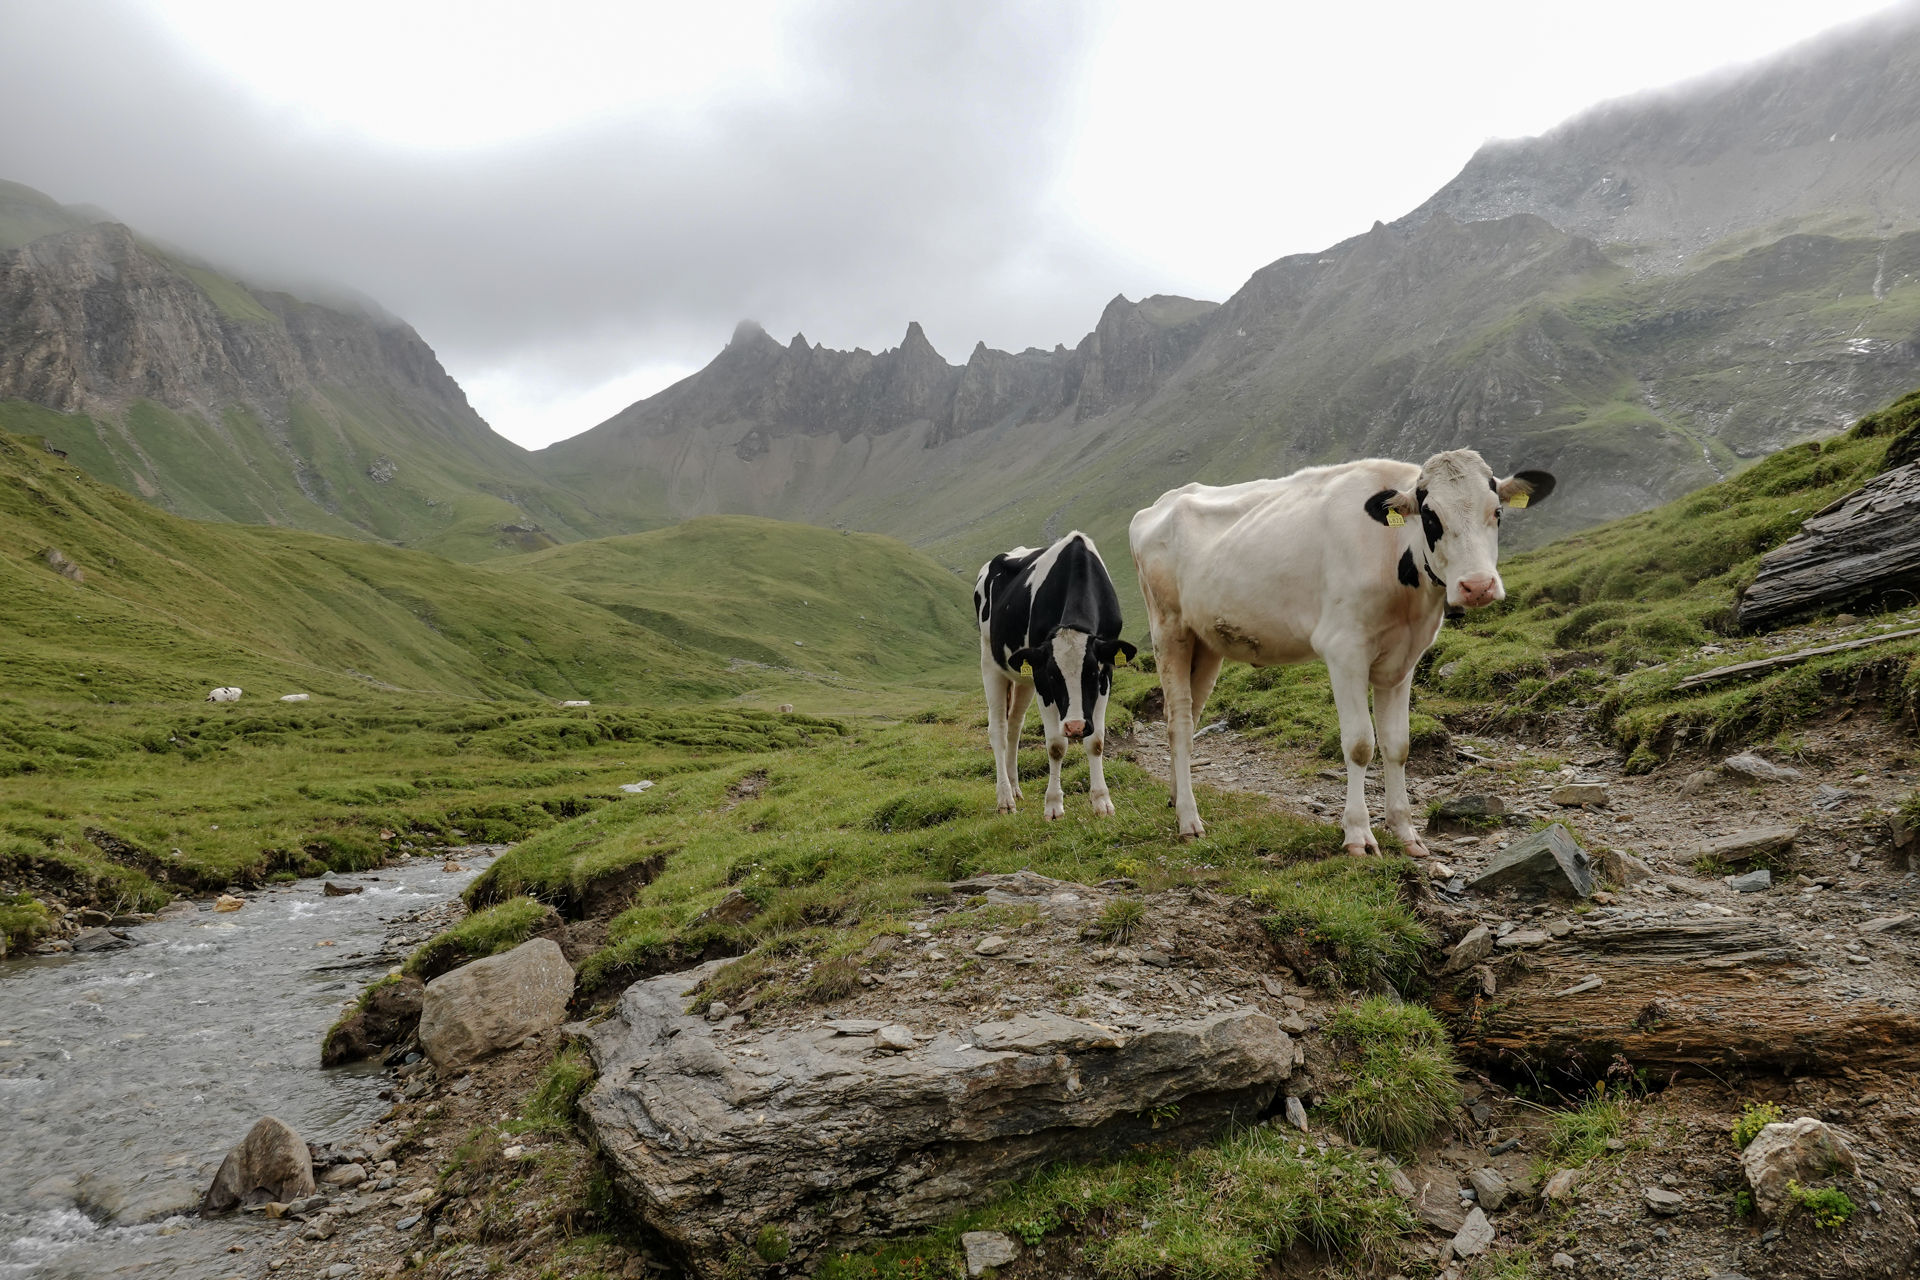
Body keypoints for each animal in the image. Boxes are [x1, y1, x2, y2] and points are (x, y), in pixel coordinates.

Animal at [975, 531, 1137, 820]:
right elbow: (1056, 745)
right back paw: (1005, 798)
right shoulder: (1040, 677)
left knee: (1014, 726)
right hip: (990, 660)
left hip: (1023, 676)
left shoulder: (1107, 671)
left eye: (1093, 673)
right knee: (998, 730)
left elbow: (1096, 741)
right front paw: (1053, 805)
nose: (1075, 727)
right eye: (1053, 677)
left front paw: (1102, 801)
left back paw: (1015, 788)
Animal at [1130, 449, 1554, 854]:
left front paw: (1405, 832)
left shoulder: (1403, 660)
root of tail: (1161, 502)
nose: (1477, 586)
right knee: (1179, 723)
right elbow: (1361, 744)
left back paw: (1175, 799)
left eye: (1496, 511)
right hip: (1169, 629)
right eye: (1431, 517)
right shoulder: (1344, 649)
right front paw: (1358, 835)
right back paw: (1188, 820)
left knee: (1187, 717)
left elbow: (1397, 745)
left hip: (1206, 643)